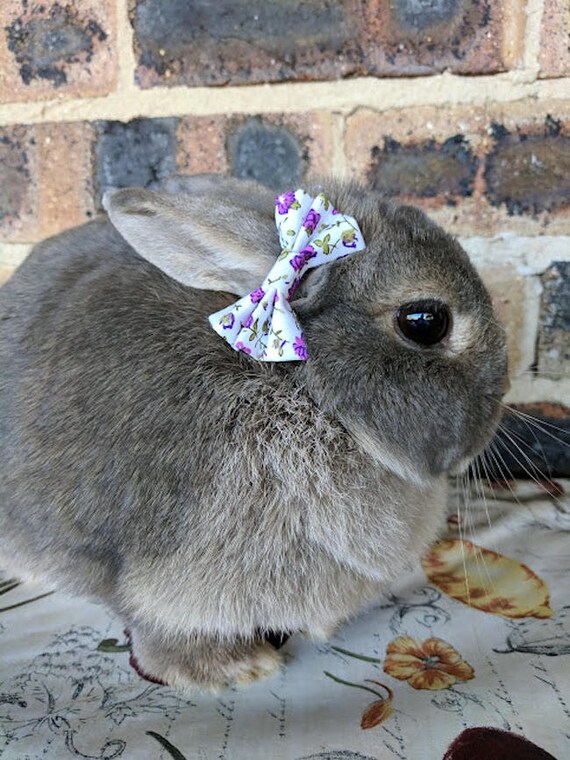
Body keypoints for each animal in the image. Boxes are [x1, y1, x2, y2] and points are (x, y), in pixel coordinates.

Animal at [0, 174, 508, 690]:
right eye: (425, 321)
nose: (494, 414)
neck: (302, 391)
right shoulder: (132, 566)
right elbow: (148, 620)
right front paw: (234, 669)